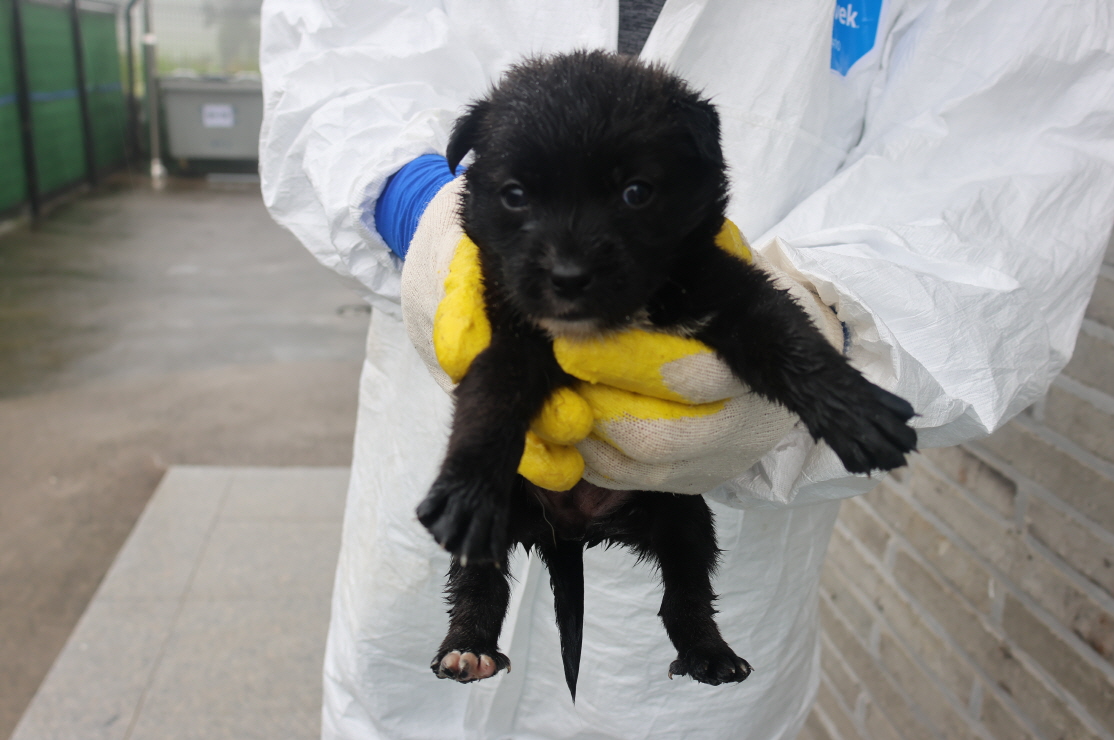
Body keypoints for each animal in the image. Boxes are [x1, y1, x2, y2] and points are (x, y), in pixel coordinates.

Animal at [416, 52, 913, 699]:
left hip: (684, 518)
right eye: (515, 195)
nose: (568, 277)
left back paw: (710, 654)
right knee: (480, 583)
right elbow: (490, 403)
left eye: (636, 192)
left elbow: (794, 340)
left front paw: (858, 410)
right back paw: (467, 647)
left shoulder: (731, 292)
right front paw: (468, 487)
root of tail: (569, 531)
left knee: (688, 592)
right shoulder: (509, 336)